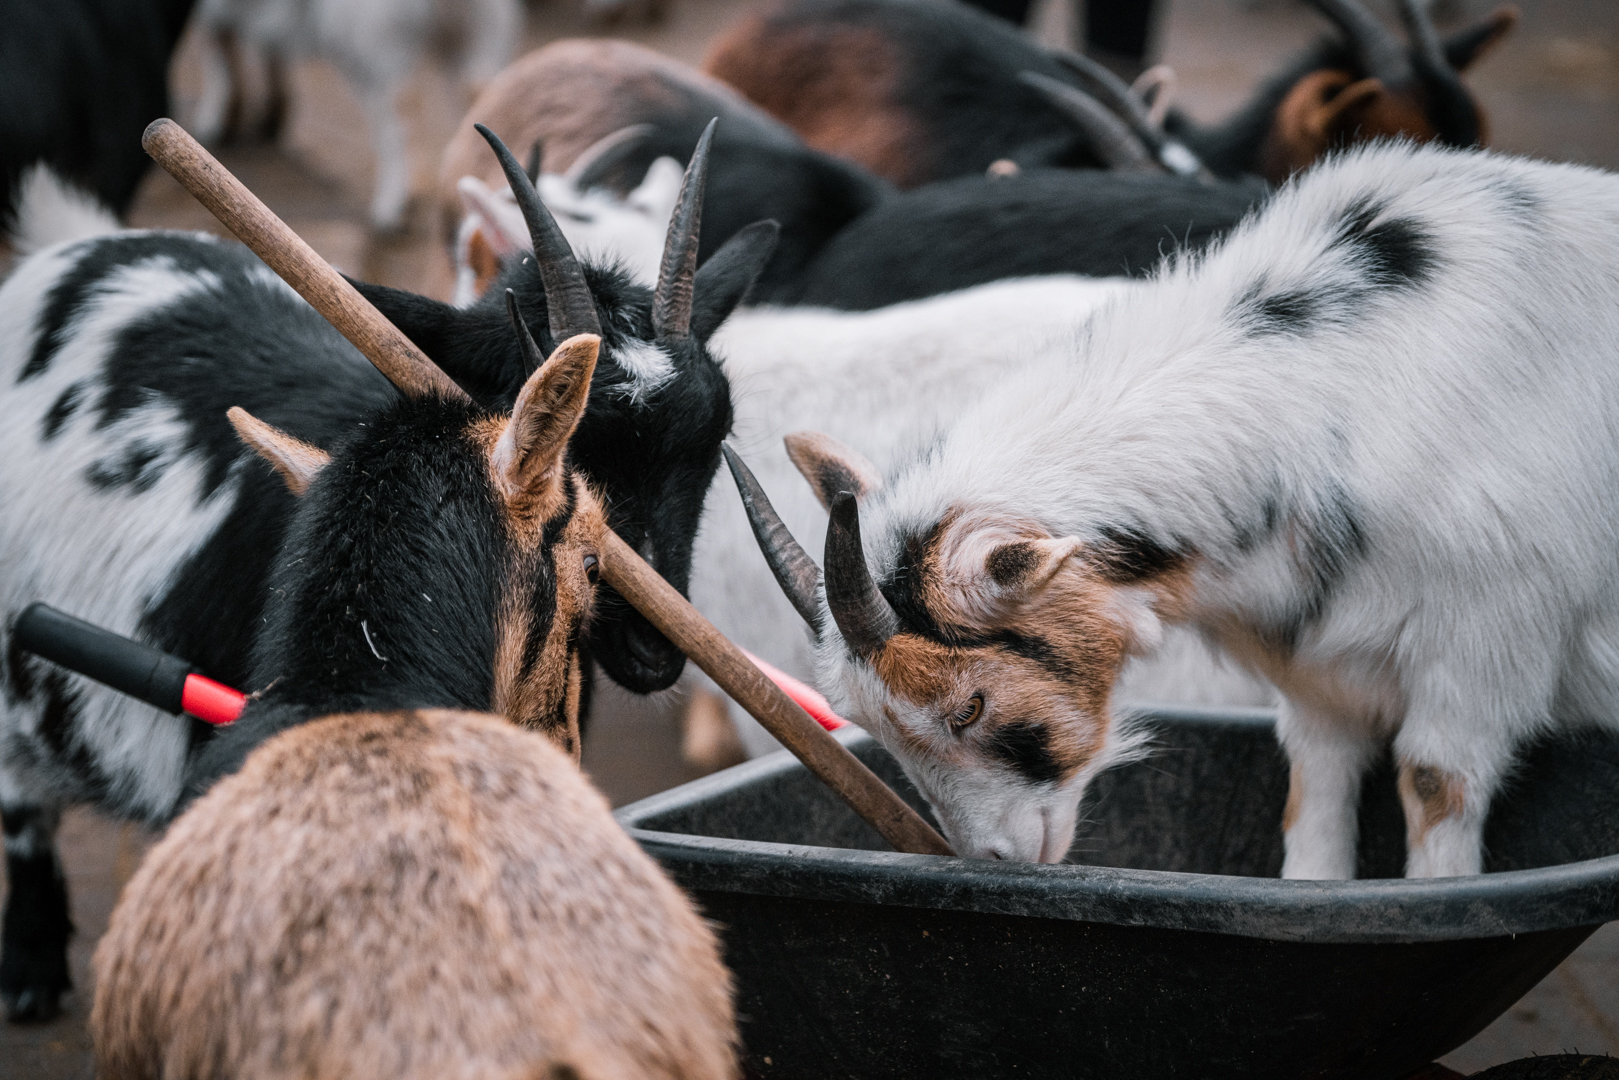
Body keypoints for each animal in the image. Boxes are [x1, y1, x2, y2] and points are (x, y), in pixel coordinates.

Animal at [192, 0, 523, 230]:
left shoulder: (212, 13)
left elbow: (215, 51)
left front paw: (215, 120)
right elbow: (260, 53)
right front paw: (270, 117)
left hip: (372, 44)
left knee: (400, 115)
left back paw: (391, 206)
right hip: (479, 33)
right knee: (484, 96)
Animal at [737, 141, 1619, 880]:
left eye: (970, 705)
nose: (995, 857)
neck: (1338, 393)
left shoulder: (1482, 649)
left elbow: (1435, 784)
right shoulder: (1323, 676)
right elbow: (1313, 794)